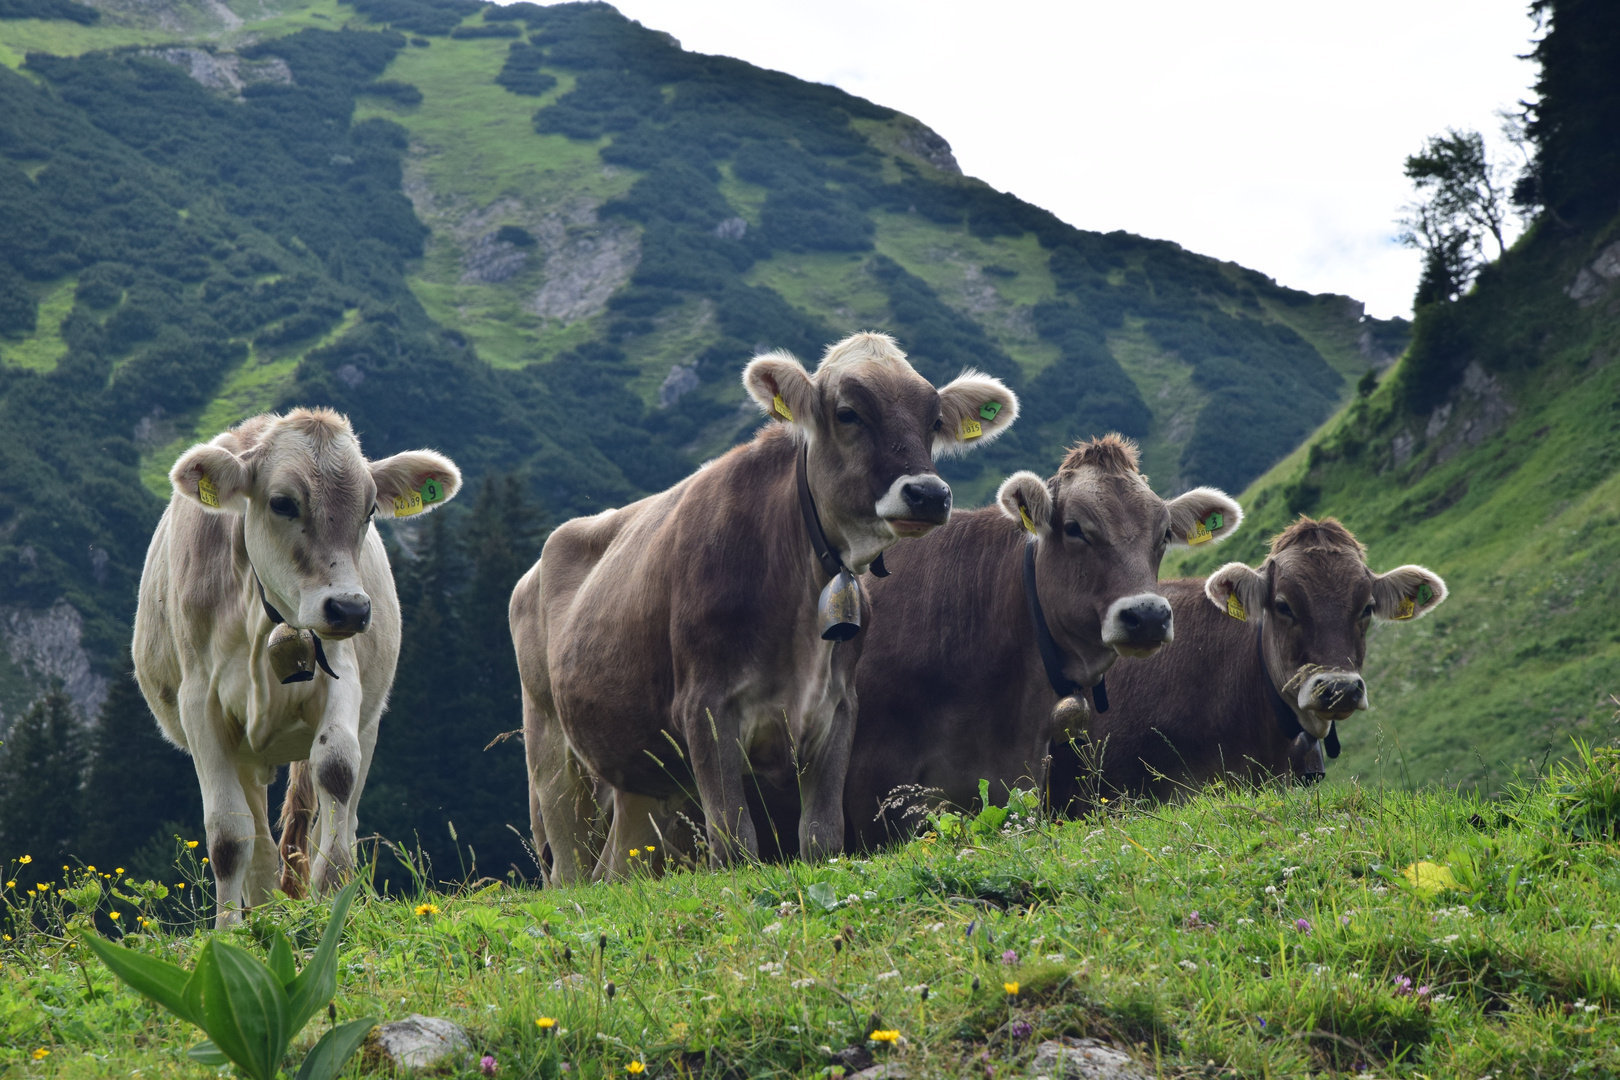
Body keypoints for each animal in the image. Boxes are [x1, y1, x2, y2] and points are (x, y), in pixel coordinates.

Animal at [130, 409, 463, 926]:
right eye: (283, 503)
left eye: (370, 509)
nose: (349, 609)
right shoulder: (199, 704)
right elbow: (228, 833)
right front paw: (227, 930)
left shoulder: (342, 674)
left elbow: (337, 772)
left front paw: (332, 894)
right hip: (245, 754)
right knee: (260, 841)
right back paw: (262, 911)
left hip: (367, 721)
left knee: (339, 816)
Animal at [508, 331, 1010, 887]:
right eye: (848, 413)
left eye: (934, 419)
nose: (927, 494)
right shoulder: (705, 707)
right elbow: (734, 840)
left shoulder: (837, 708)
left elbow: (822, 836)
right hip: (551, 751)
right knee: (569, 868)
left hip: (644, 778)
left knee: (619, 867)